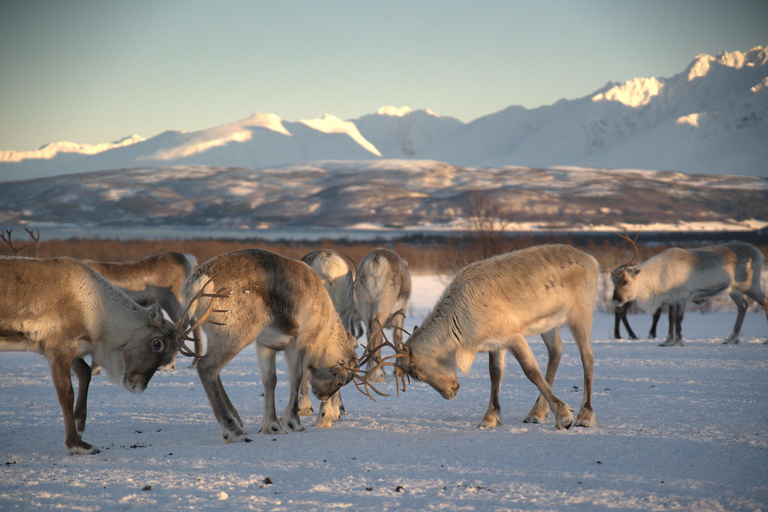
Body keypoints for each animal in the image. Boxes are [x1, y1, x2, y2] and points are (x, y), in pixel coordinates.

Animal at [0, 255, 201, 455]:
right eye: (157, 343)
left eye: (167, 356)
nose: (138, 386)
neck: (96, 315)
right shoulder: (58, 346)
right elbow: (66, 393)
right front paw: (77, 444)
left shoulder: (68, 347)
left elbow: (85, 372)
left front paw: (79, 425)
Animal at [183, 249, 359, 442]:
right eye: (340, 382)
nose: (322, 396)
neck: (326, 329)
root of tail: (197, 280)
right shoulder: (298, 342)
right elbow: (296, 377)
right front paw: (293, 422)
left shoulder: (265, 345)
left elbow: (270, 381)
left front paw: (272, 425)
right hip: (236, 334)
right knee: (206, 367)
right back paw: (233, 430)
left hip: (217, 335)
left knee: (214, 371)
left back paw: (238, 422)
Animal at [355, 248, 411, 383]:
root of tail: (376, 260)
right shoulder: (401, 310)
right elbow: (398, 337)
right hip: (384, 304)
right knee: (377, 330)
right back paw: (378, 374)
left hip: (365, 305)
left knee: (370, 332)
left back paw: (371, 370)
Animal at [367, 244, 599, 430]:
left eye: (416, 375)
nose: (450, 393)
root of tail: (592, 260)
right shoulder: (494, 343)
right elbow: (494, 374)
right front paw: (489, 418)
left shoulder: (512, 336)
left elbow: (531, 372)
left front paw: (564, 416)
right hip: (549, 325)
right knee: (556, 351)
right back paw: (536, 413)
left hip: (580, 314)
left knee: (587, 356)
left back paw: (585, 416)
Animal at [611, 232, 768, 346]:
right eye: (613, 282)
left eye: (624, 281)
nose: (615, 300)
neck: (658, 279)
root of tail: (759, 253)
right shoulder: (671, 299)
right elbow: (670, 319)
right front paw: (667, 341)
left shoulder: (682, 296)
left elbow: (678, 319)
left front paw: (678, 341)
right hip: (733, 290)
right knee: (743, 305)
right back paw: (731, 339)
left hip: (750, 285)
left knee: (764, 301)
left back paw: (763, 340)